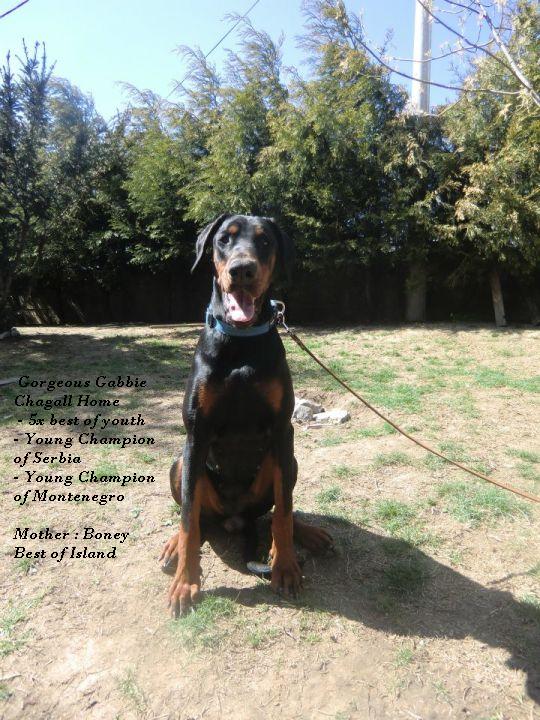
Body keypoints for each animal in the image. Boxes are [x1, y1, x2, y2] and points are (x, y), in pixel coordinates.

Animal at [160, 214, 333, 617]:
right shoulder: (196, 434)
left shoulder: (283, 431)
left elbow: (284, 511)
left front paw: (285, 568)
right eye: (224, 239)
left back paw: (305, 535)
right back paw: (175, 546)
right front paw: (186, 584)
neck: (239, 341)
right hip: (181, 464)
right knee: (197, 517)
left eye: (265, 241)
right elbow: (188, 519)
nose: (242, 270)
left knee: (278, 509)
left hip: (286, 462)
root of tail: (236, 519)